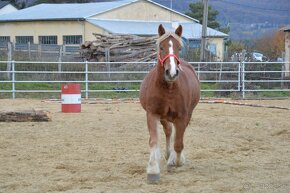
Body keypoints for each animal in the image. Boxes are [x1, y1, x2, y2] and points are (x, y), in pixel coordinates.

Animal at [139, 24, 201, 182]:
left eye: (179, 48)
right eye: (161, 47)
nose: (171, 73)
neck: (169, 88)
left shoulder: (182, 117)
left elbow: (178, 144)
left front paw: (176, 161)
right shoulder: (152, 114)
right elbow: (154, 140)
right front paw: (153, 169)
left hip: (187, 114)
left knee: (176, 136)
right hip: (163, 117)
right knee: (168, 131)